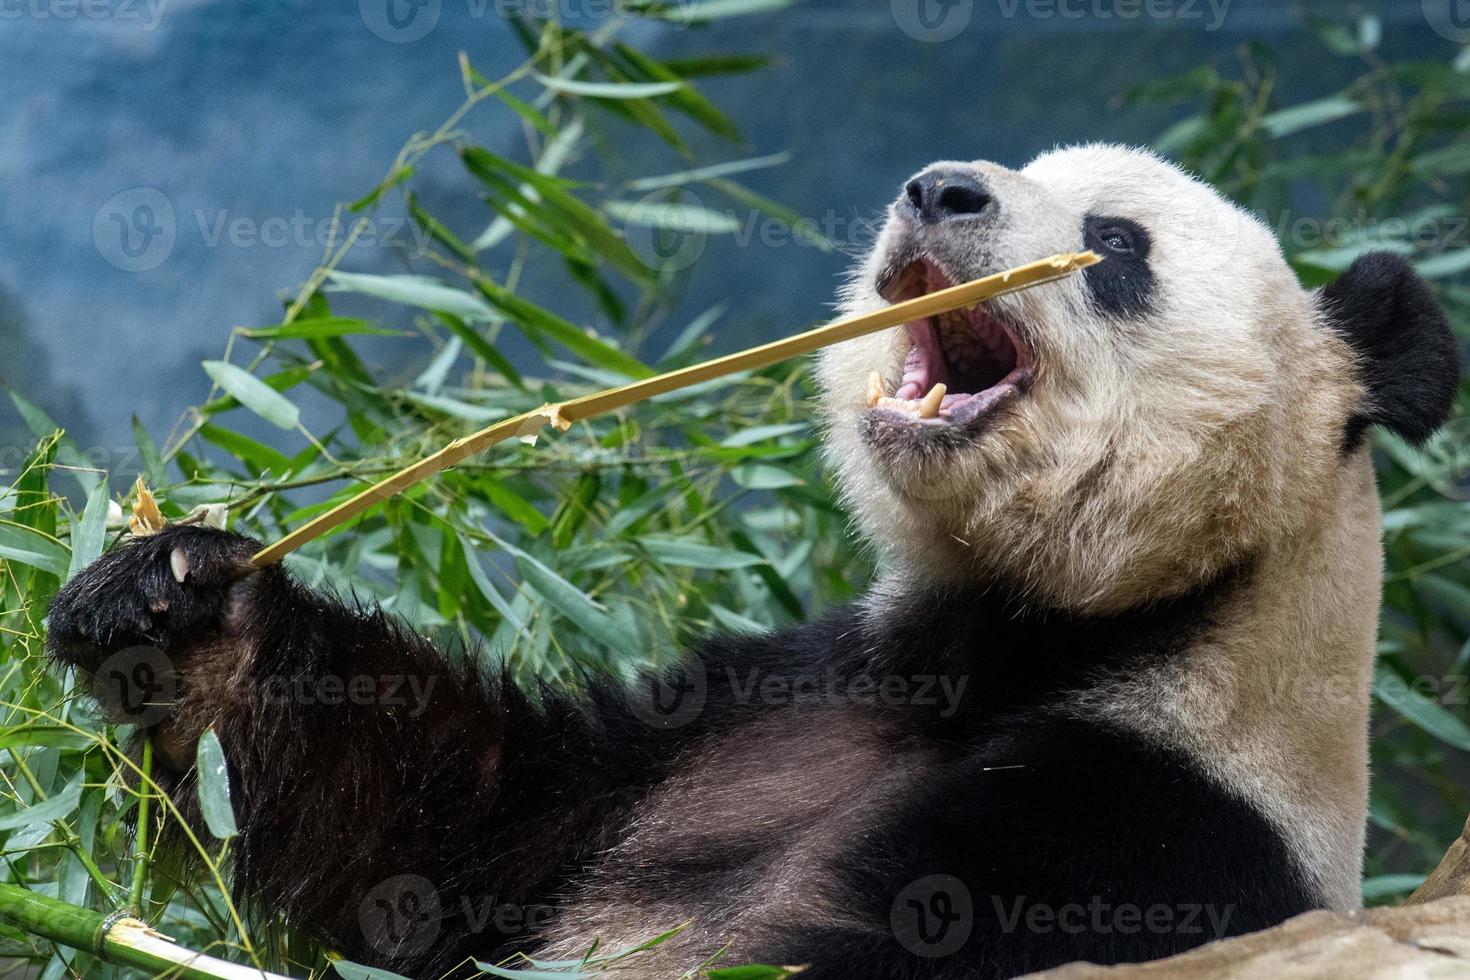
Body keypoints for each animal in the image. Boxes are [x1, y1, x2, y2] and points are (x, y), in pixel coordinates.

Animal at [42, 147, 1458, 980]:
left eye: (1117, 245)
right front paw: (174, 604)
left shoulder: (1142, 825)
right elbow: (447, 843)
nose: (941, 189)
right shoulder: (772, 696)